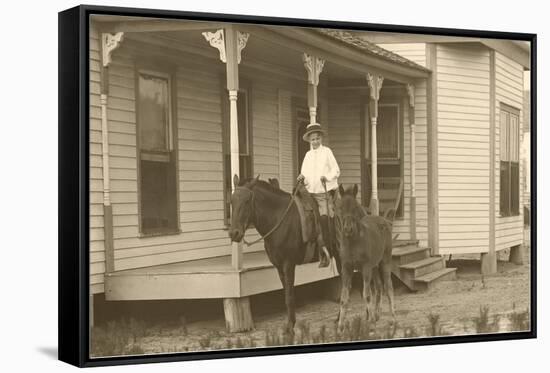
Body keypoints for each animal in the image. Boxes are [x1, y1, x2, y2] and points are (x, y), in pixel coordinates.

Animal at [229, 174, 314, 332]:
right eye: (231, 201)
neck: (279, 219)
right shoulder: (279, 266)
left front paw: (290, 327)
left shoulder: (288, 264)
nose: (234, 233)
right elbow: (287, 294)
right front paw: (290, 324)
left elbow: (289, 296)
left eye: (247, 201)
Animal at [336, 184, 396, 328]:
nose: (348, 229)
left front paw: (370, 323)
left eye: (355, 207)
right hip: (375, 266)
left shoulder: (366, 267)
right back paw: (376, 315)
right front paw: (340, 327)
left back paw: (393, 319)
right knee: (379, 287)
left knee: (388, 286)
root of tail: (385, 220)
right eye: (340, 208)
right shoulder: (346, 268)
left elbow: (367, 295)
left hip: (385, 261)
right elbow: (344, 298)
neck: (354, 242)